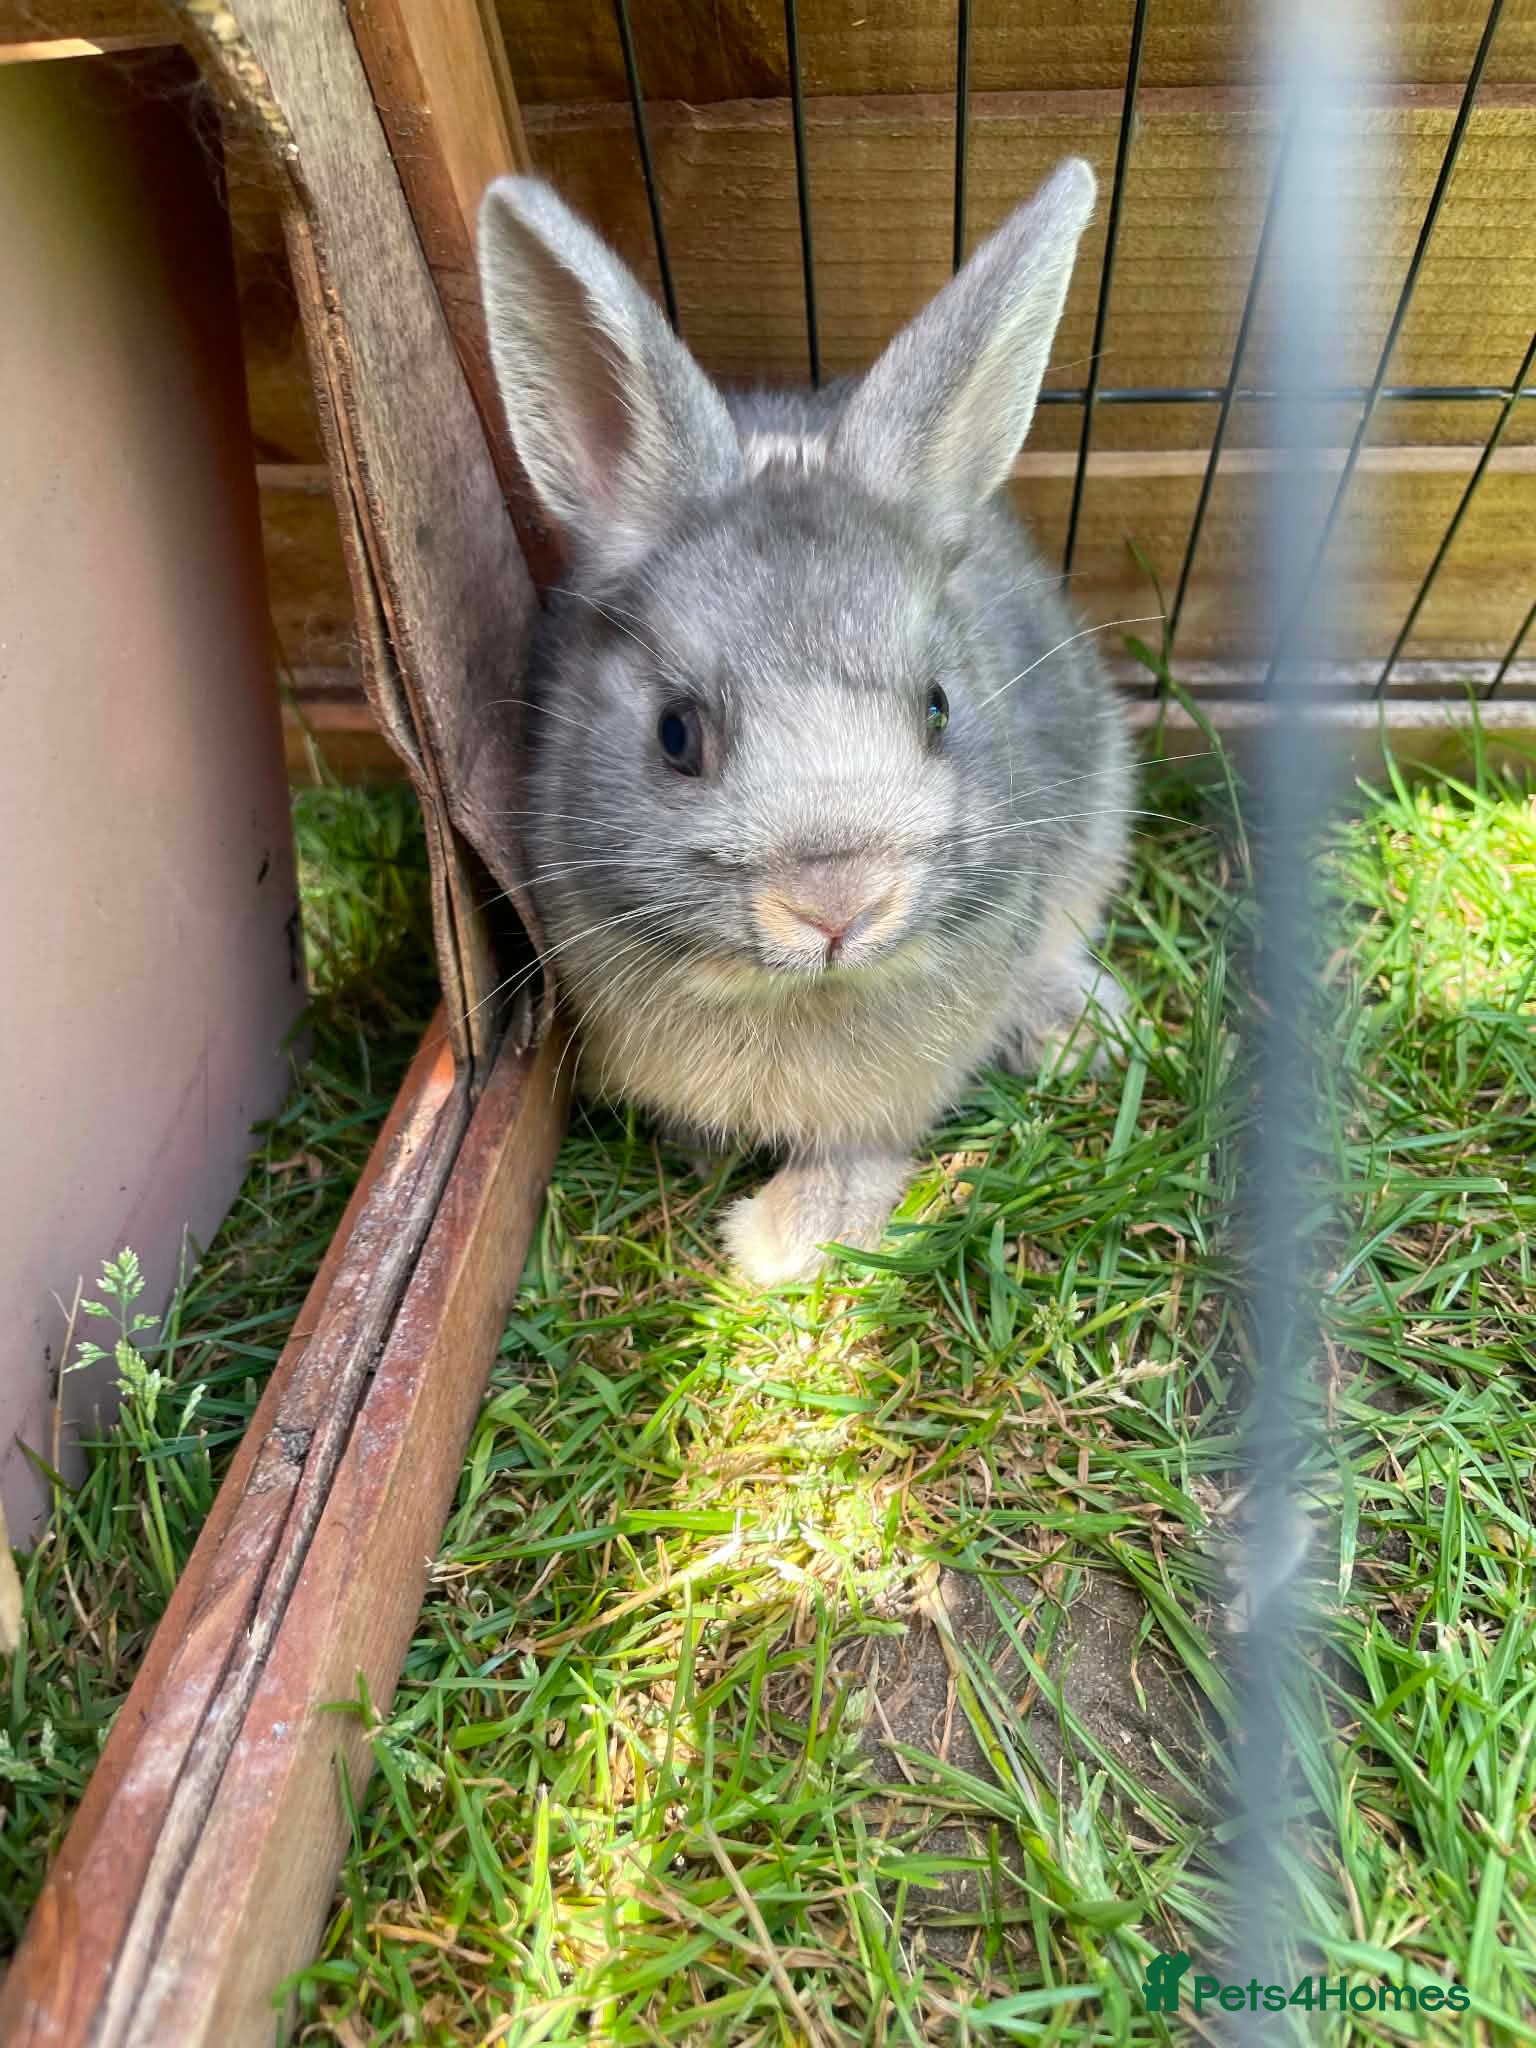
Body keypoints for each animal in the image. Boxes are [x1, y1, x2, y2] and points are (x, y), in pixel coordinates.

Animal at [477, 158, 1133, 1286]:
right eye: (676, 734)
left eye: (937, 707)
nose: (837, 908)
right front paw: (708, 1162)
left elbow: (862, 1151)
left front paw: (784, 1243)